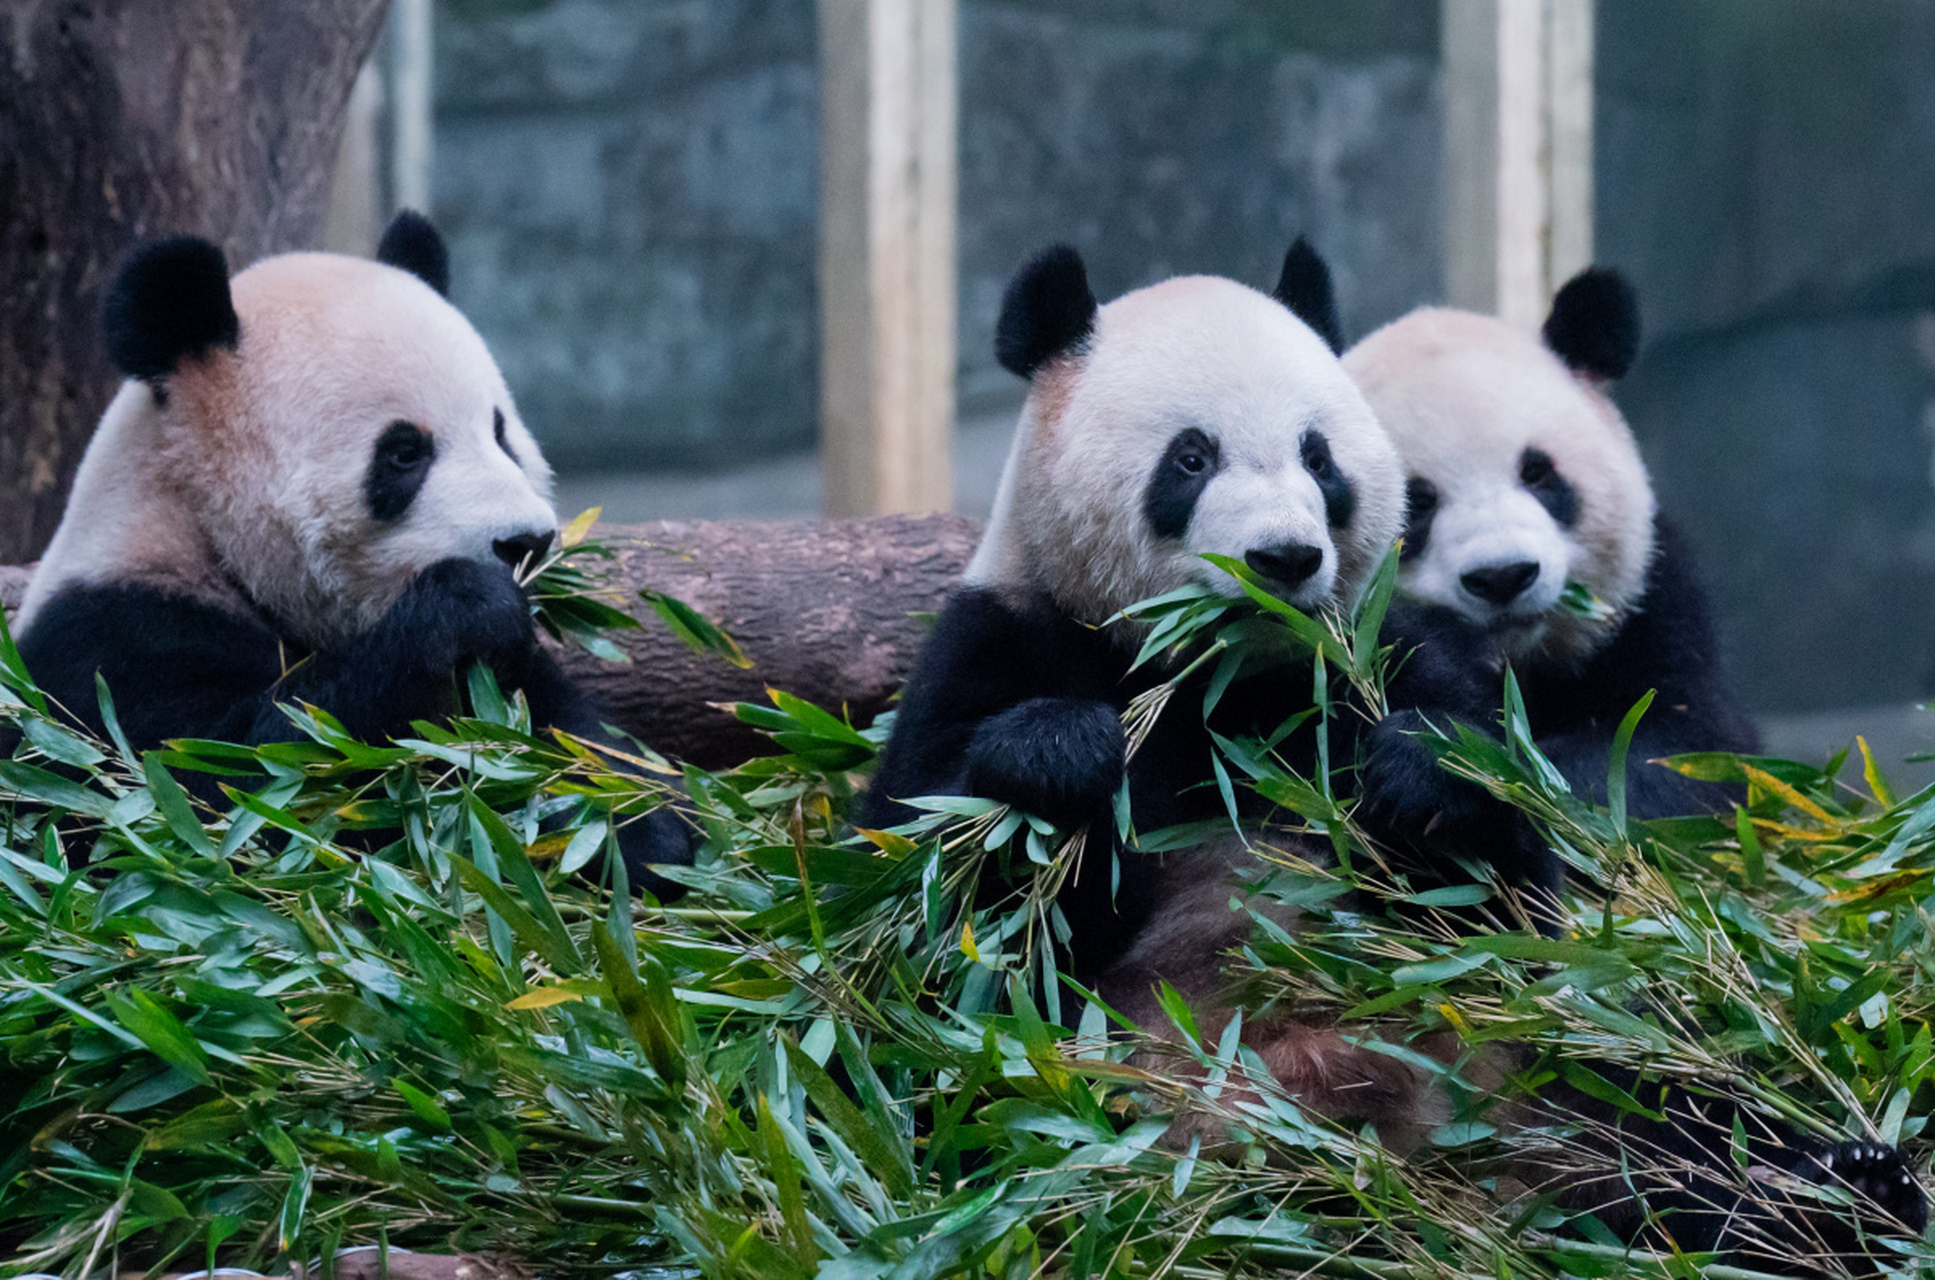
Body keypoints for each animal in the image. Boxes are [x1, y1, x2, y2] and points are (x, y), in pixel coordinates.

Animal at [11, 210, 696, 894]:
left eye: (502, 434)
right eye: (404, 452)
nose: (526, 541)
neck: (202, 529)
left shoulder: (518, 680)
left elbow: (574, 743)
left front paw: (632, 831)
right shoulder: (111, 644)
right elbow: (226, 793)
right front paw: (466, 607)